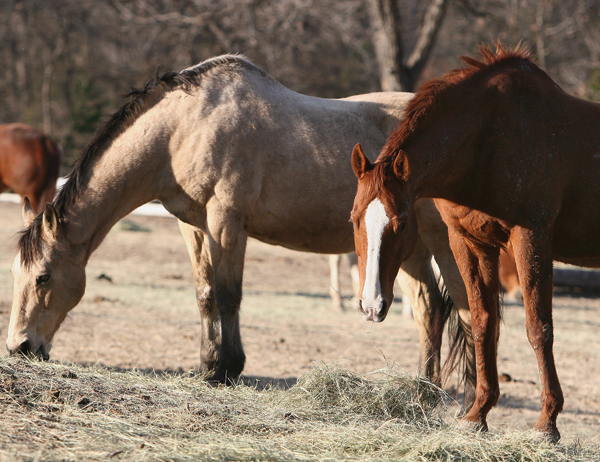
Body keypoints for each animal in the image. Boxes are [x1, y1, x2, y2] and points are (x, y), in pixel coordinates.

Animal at [4, 53, 474, 394]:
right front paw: (207, 366)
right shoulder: (193, 225)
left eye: (43, 277)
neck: (183, 127)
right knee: (429, 307)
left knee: (463, 307)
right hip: (406, 248)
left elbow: (229, 296)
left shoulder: (226, 221)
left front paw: (227, 370)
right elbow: (206, 295)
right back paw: (421, 390)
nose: (20, 347)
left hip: (440, 241)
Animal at [350, 43, 596, 440]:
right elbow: (481, 323)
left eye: (402, 224)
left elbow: (538, 327)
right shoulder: (469, 242)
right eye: (354, 220)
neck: (489, 141)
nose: (372, 306)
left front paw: (547, 422)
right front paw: (477, 413)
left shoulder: (531, 237)